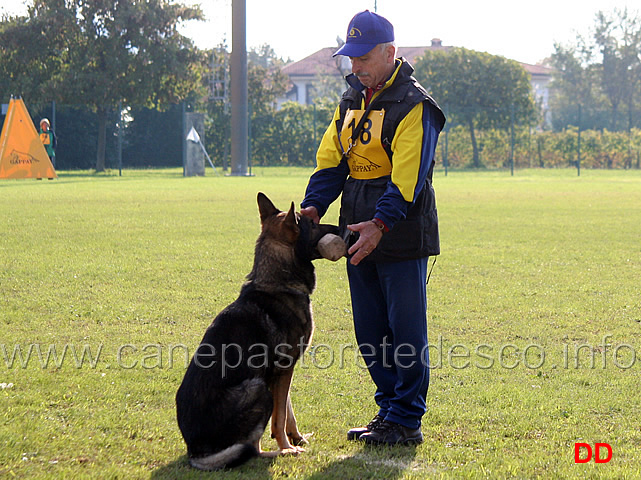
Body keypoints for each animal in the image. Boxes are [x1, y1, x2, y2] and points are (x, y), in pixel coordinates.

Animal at [172, 193, 338, 470]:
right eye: (313, 224)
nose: (341, 229)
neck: (277, 281)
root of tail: (195, 452)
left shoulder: (280, 373)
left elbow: (287, 411)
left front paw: (296, 437)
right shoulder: (283, 369)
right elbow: (280, 418)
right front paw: (288, 446)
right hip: (258, 388)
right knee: (253, 449)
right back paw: (280, 454)